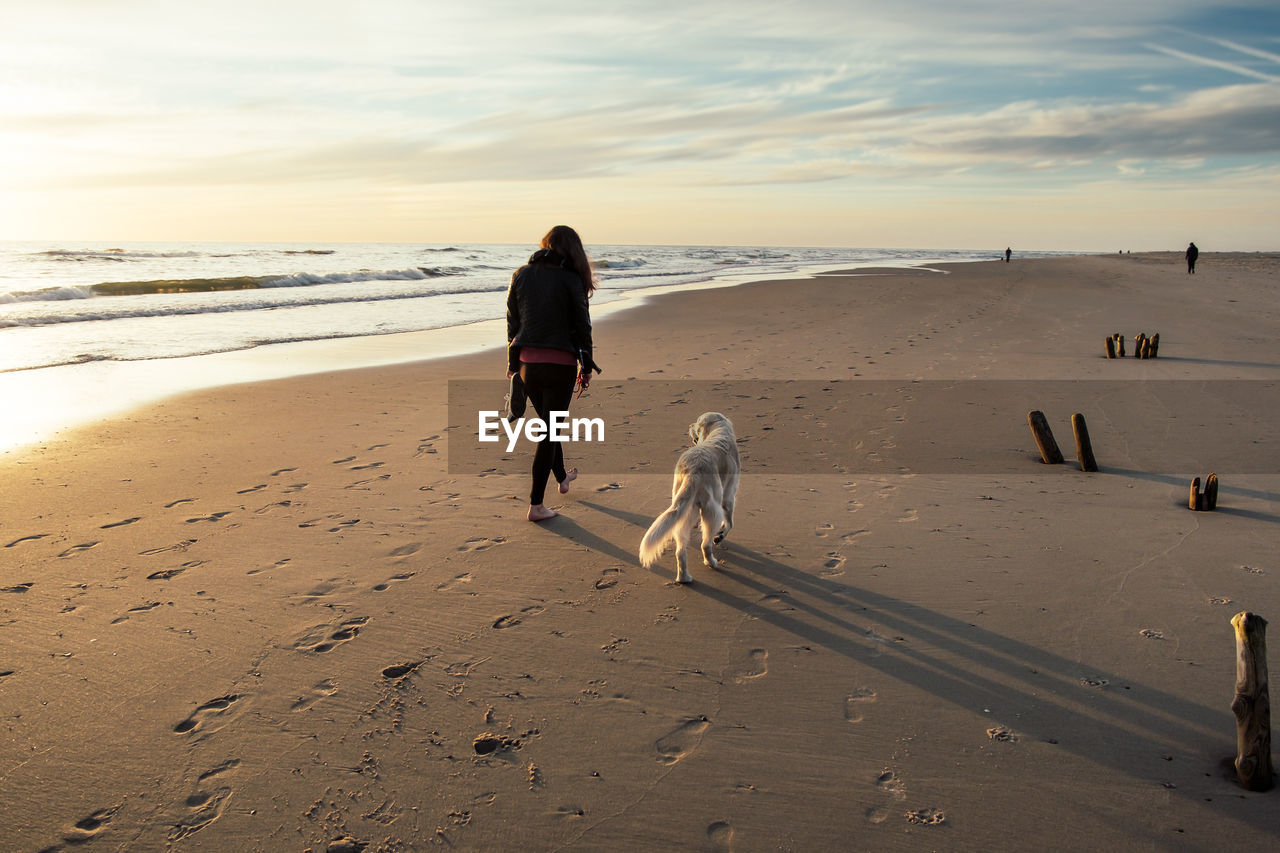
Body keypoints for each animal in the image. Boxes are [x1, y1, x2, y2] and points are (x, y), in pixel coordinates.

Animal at [640, 409, 742, 581]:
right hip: (711, 510)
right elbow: (730, 522)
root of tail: (694, 470)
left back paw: (684, 577)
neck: (718, 430)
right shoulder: (728, 496)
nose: (689, 425)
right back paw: (711, 562)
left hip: (683, 510)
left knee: (680, 551)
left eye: (696, 423)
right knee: (705, 544)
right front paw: (720, 536)